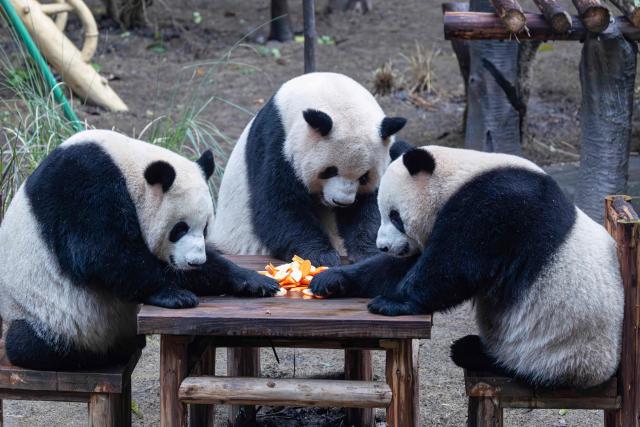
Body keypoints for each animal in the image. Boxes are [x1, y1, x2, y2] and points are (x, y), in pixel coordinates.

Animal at [0, 130, 278, 371]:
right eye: (180, 228)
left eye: (206, 227)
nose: (194, 262)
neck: (126, 165)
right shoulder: (83, 185)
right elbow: (103, 254)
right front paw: (175, 294)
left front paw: (254, 281)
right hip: (44, 313)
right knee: (31, 345)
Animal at [212, 72, 407, 266]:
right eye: (330, 170)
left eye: (364, 177)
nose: (342, 202)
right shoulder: (275, 140)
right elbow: (280, 204)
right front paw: (321, 254)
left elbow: (373, 205)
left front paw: (368, 251)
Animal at [311, 142, 624, 388]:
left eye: (395, 216)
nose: (384, 246)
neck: (461, 176)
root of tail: (606, 371)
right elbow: (397, 268)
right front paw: (331, 280)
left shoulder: (497, 206)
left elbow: (453, 266)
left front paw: (391, 303)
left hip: (557, 350)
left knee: (525, 362)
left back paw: (470, 350)